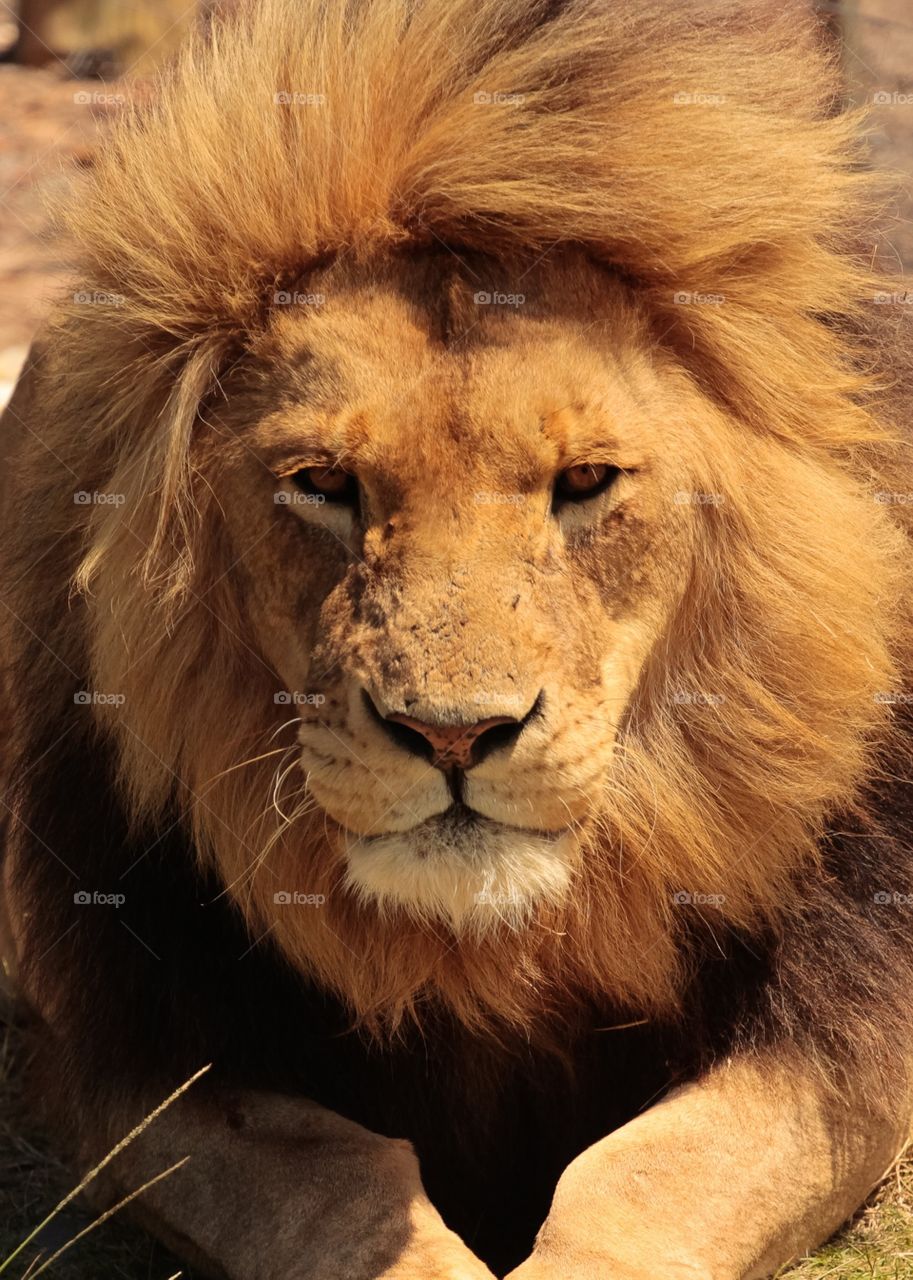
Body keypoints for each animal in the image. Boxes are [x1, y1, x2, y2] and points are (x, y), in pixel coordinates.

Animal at [3, 0, 913, 1276]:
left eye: (584, 480)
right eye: (321, 482)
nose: (452, 735)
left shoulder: (847, 1019)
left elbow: (649, 1172)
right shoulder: (131, 1045)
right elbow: (333, 1181)